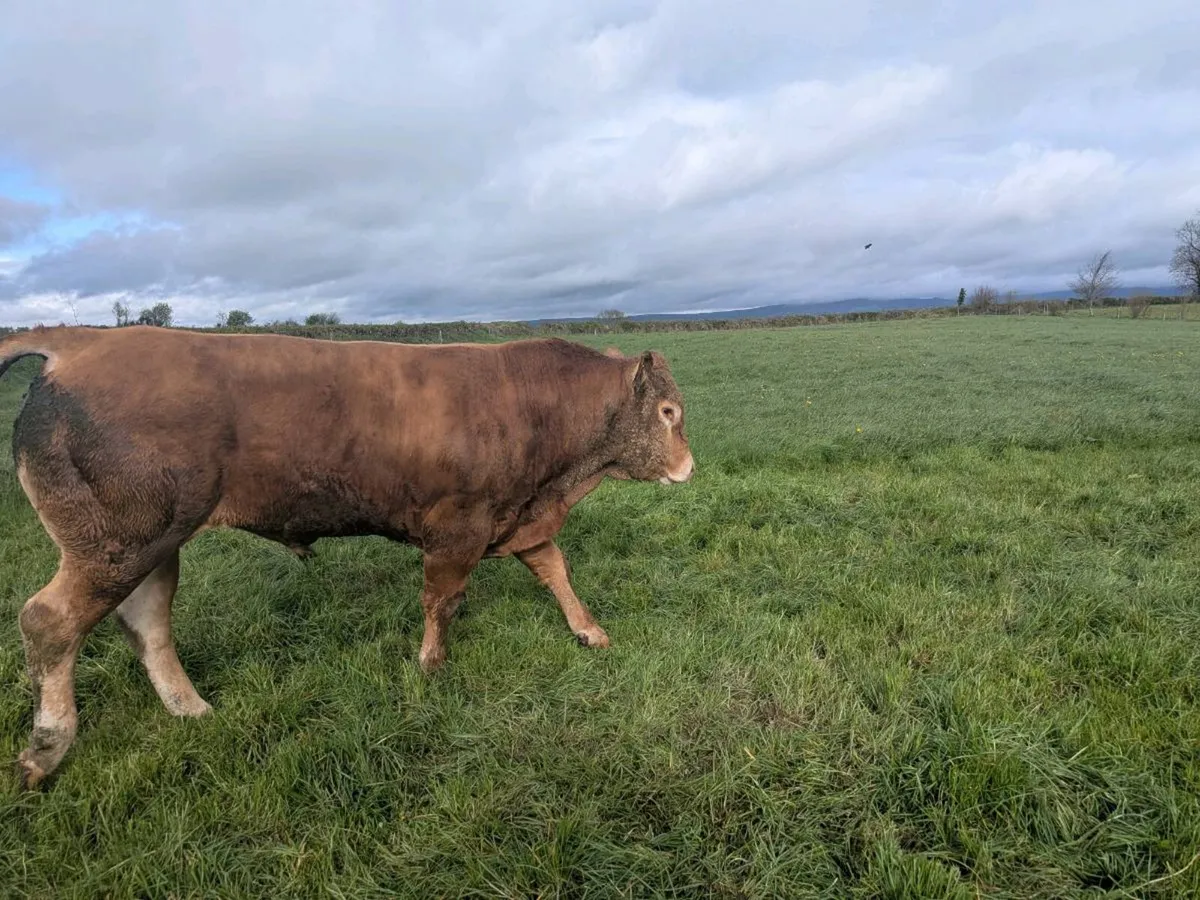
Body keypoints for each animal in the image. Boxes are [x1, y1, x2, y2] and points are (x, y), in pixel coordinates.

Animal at [0, 325, 694, 788]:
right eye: (668, 411)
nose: (689, 467)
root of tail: (79, 343)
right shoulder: (459, 527)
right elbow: (442, 598)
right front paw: (431, 666)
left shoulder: (517, 520)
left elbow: (555, 570)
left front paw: (589, 631)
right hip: (118, 541)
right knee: (49, 620)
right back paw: (46, 748)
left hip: (153, 544)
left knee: (146, 622)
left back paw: (192, 710)